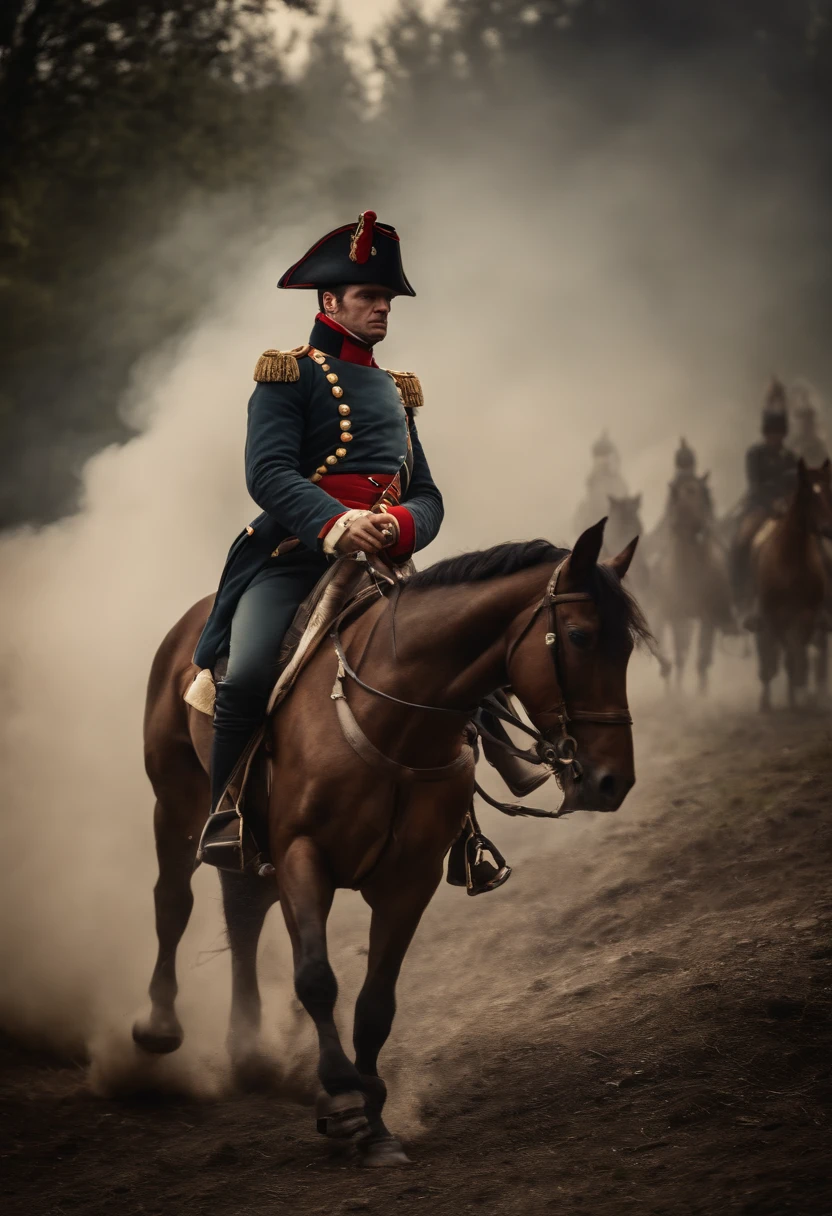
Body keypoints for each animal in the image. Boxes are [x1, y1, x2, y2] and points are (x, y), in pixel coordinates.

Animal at [133, 522, 647, 1167]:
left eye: (626, 647)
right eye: (578, 636)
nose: (611, 781)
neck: (393, 715)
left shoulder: (410, 880)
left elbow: (376, 1004)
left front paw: (374, 1120)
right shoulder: (302, 856)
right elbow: (316, 977)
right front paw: (344, 1099)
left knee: (244, 912)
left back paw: (248, 1051)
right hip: (175, 805)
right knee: (172, 900)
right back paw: (159, 1025)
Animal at [651, 469, 729, 690]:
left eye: (701, 493)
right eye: (675, 496)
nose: (703, 528)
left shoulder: (708, 617)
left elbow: (703, 655)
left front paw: (701, 691)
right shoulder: (678, 617)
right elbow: (681, 655)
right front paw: (679, 692)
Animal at [749, 459, 832, 715]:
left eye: (829, 490)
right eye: (807, 494)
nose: (827, 528)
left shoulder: (807, 615)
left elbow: (799, 654)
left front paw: (801, 695)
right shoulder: (774, 617)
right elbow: (781, 655)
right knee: (770, 654)